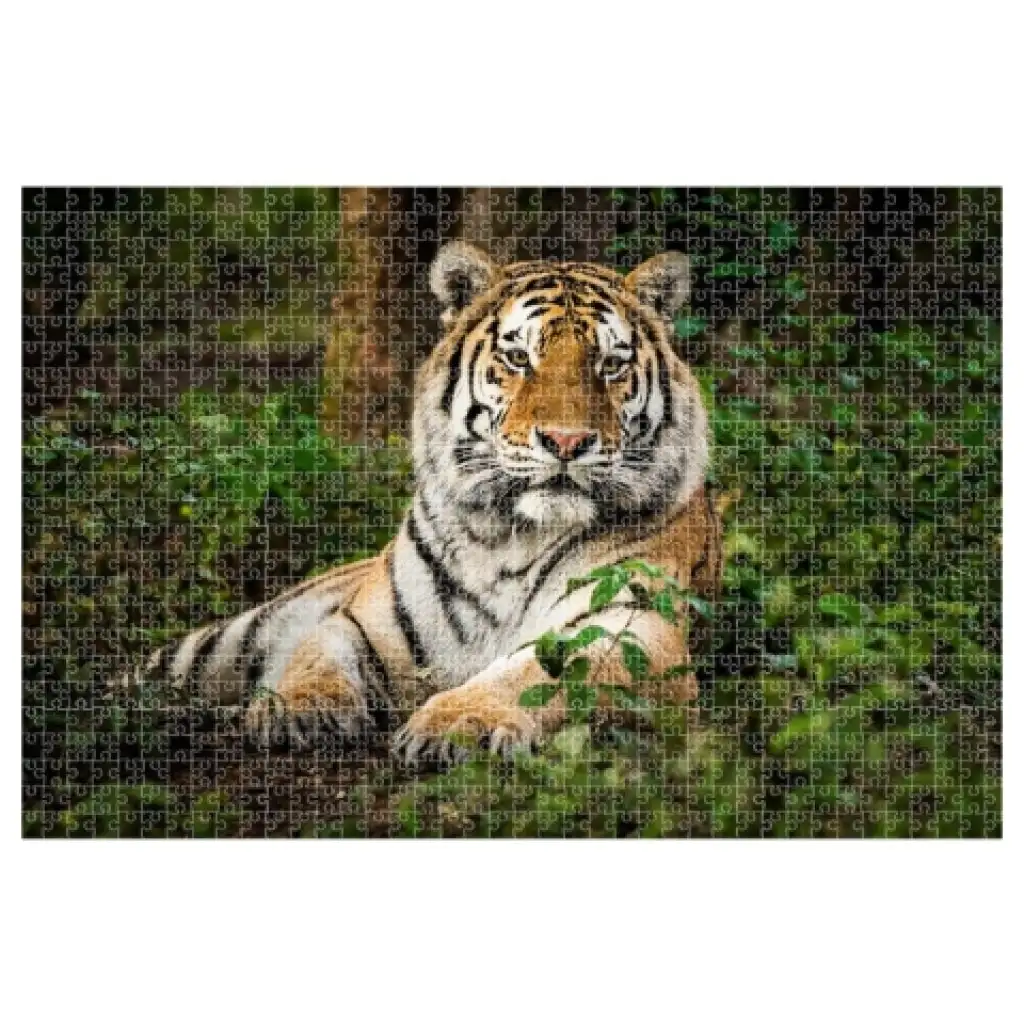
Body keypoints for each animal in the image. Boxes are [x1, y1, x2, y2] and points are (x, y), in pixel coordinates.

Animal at [122, 242, 722, 767]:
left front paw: (460, 722)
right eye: (518, 358)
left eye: (611, 365)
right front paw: (299, 708)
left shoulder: (630, 627)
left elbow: (534, 675)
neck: (508, 536)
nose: (567, 441)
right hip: (228, 640)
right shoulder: (363, 620)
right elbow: (317, 652)